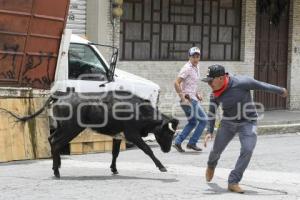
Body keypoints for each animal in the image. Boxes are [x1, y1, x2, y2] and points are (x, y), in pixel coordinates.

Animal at [2, 91, 179, 178]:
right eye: (168, 133)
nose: (167, 150)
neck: (139, 110)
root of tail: (60, 96)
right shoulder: (132, 134)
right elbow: (147, 150)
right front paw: (162, 166)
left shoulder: (118, 136)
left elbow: (115, 153)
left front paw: (114, 169)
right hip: (71, 128)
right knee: (57, 142)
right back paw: (57, 172)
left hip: (63, 127)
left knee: (51, 139)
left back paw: (56, 166)